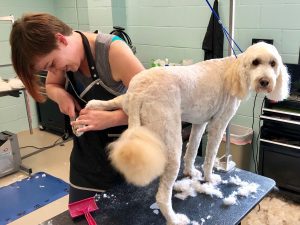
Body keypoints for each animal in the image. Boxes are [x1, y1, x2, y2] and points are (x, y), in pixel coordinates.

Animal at [85, 42, 290, 225]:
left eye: (273, 64)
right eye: (256, 62)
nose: (265, 82)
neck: (234, 71)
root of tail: (138, 93)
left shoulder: (200, 123)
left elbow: (192, 150)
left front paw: (191, 172)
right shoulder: (218, 125)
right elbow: (209, 157)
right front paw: (209, 179)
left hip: (127, 99)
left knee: (112, 102)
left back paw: (89, 112)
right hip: (172, 146)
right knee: (162, 196)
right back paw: (174, 219)